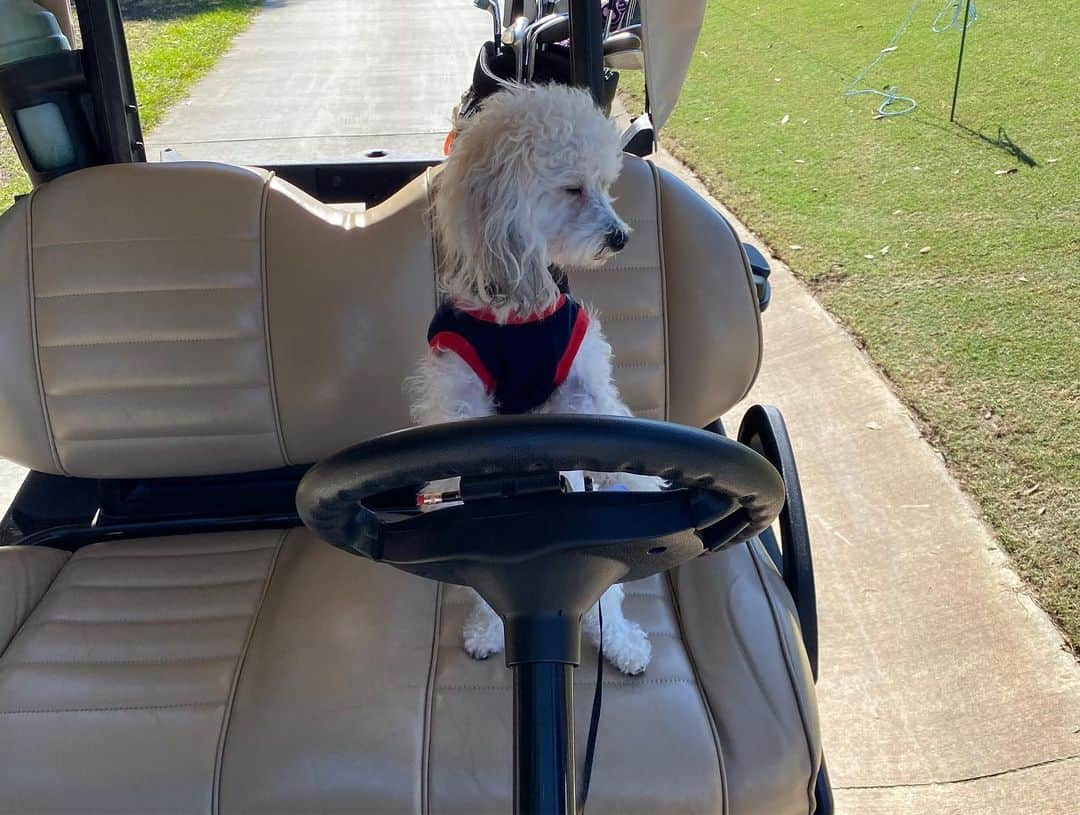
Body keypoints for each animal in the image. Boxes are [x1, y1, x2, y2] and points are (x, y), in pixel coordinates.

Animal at [408, 83, 652, 677]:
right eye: (572, 188)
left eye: (605, 185)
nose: (621, 238)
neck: (516, 308)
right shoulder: (459, 392)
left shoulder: (582, 381)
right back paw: (491, 628)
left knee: (605, 588)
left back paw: (621, 642)